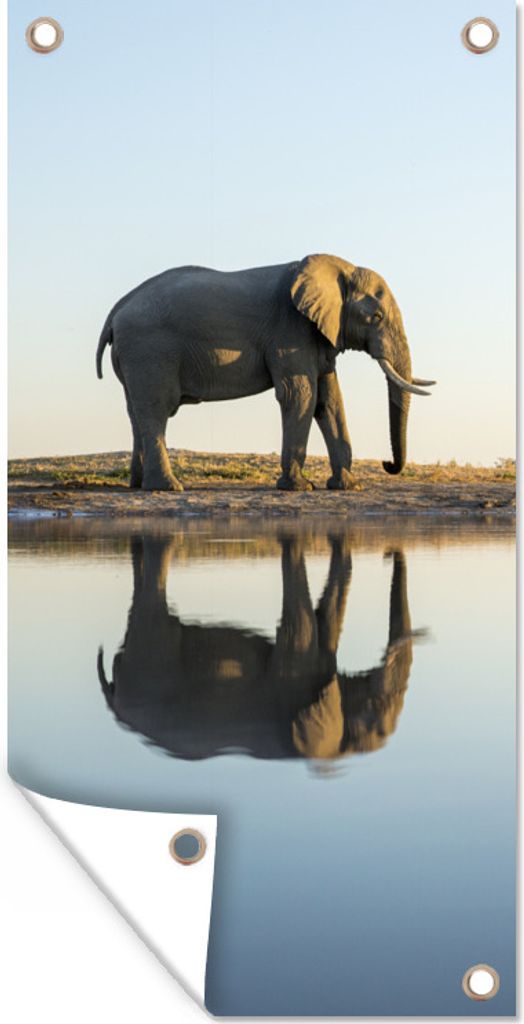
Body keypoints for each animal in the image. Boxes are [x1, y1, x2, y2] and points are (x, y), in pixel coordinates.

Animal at [96, 254, 436, 491]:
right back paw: (169, 488)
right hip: (150, 351)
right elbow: (301, 395)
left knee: (136, 412)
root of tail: (116, 311)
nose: (387, 463)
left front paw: (349, 487)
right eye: (375, 317)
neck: (339, 268)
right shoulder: (290, 332)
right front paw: (299, 488)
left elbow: (330, 400)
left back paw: (138, 485)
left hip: (136, 356)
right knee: (156, 409)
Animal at [97, 532, 423, 763]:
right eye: (377, 726)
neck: (333, 756)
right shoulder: (291, 683)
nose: (387, 554)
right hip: (151, 665)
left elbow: (327, 623)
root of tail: (114, 705)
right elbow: (303, 628)